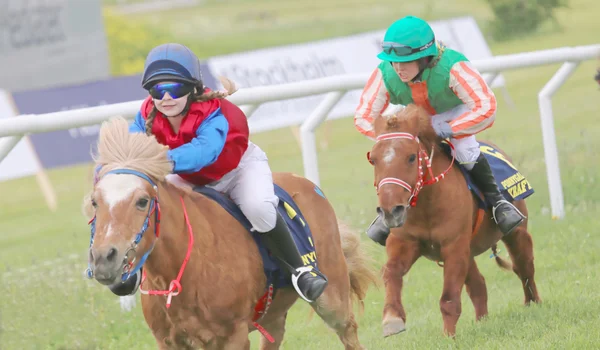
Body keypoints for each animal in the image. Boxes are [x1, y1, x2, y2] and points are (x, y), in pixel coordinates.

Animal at [83, 116, 380, 348]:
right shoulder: (168, 341)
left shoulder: (233, 336)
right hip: (273, 312)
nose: (103, 258)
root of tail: (309, 185)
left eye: (142, 201)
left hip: (332, 296)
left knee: (348, 329)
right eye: (95, 202)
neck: (183, 269)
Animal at [368, 105, 540, 338]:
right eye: (373, 159)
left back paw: (533, 303)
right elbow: (391, 271)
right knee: (479, 285)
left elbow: (449, 299)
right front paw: (392, 318)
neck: (427, 205)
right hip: (469, 251)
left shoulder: (454, 247)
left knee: (524, 267)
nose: (390, 211)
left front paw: (448, 337)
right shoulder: (404, 243)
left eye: (411, 157)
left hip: (515, 232)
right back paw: (483, 321)